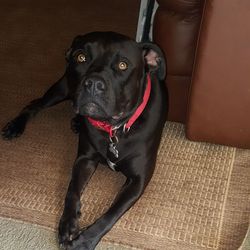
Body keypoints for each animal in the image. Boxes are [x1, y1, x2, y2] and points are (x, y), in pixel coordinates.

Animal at [1, 32, 168, 249]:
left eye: (123, 65)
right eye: (81, 57)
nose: (94, 84)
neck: (113, 129)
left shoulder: (139, 179)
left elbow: (112, 213)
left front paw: (85, 241)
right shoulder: (85, 159)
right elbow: (72, 189)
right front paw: (67, 224)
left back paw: (76, 122)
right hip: (62, 89)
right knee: (34, 104)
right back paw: (16, 126)